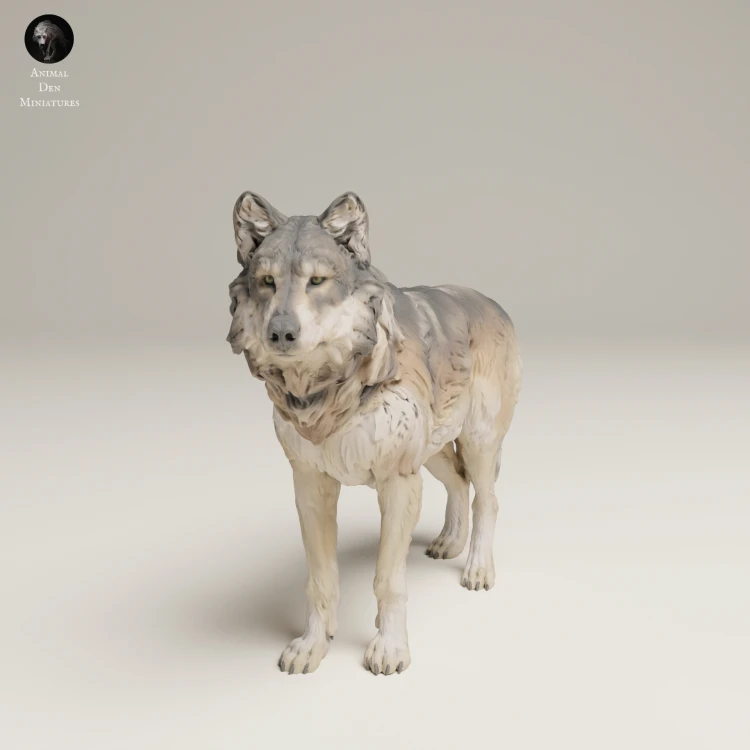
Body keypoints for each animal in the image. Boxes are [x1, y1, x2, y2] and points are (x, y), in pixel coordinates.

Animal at [226, 191, 522, 675]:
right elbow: (320, 581)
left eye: (317, 281)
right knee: (459, 483)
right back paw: (449, 542)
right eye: (267, 281)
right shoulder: (311, 485)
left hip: (476, 442)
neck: (330, 391)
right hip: (434, 450)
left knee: (488, 499)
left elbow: (388, 580)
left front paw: (389, 648)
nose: (281, 333)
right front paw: (312, 646)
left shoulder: (398, 483)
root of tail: (491, 302)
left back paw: (478, 568)